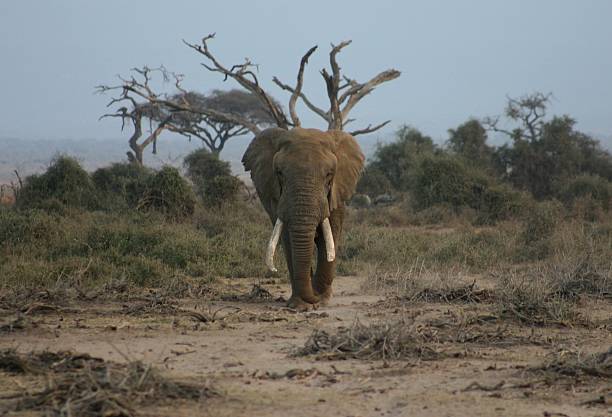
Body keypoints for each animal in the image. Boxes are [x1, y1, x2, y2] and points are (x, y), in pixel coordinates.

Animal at [241, 127, 364, 308]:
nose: (316, 297)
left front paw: (321, 300)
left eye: (329, 175)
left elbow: (329, 239)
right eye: (279, 173)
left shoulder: (336, 195)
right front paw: (300, 305)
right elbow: (289, 239)